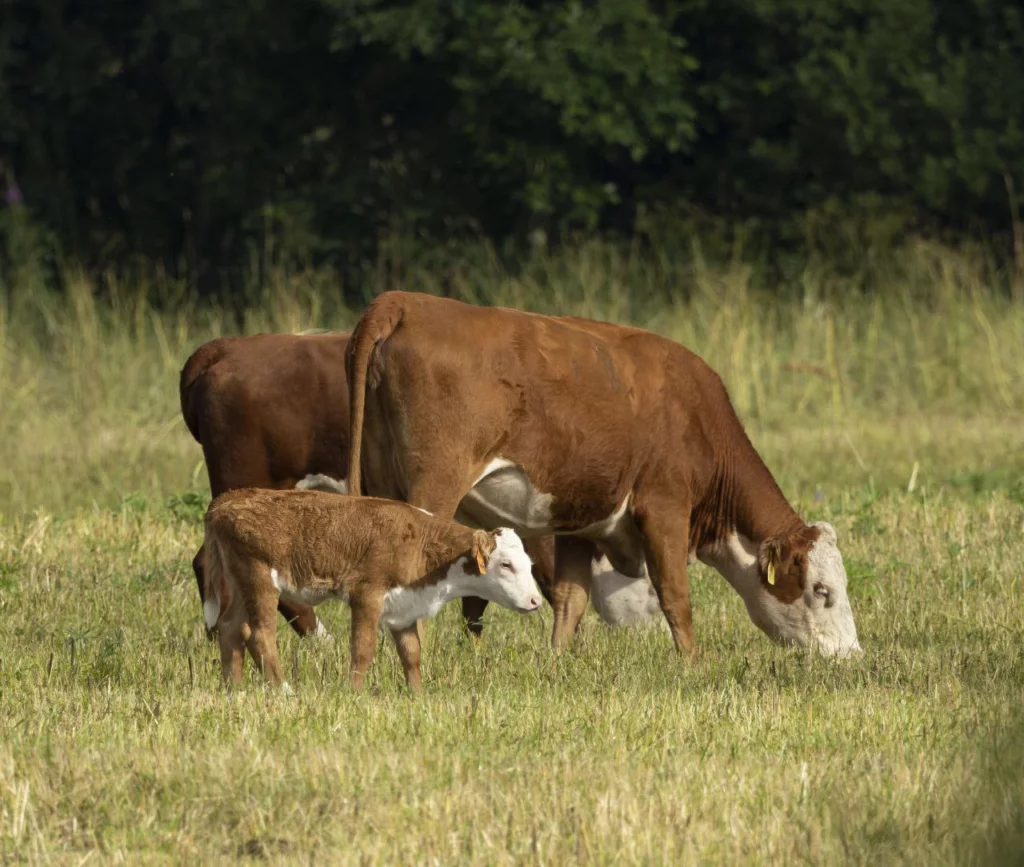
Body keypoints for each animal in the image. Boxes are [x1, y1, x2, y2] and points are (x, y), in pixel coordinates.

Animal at [203, 488, 543, 691]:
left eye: (528, 564)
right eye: (506, 565)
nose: (534, 600)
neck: (421, 545)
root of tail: (227, 501)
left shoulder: (405, 606)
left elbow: (411, 653)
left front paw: (417, 695)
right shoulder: (367, 594)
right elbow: (363, 649)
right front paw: (354, 694)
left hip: (239, 580)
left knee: (231, 628)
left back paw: (233, 689)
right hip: (259, 576)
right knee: (259, 634)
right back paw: (283, 690)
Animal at [345, 291, 862, 660]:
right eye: (822, 590)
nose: (851, 655)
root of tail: (404, 301)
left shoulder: (579, 521)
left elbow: (570, 600)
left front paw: (556, 663)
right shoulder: (664, 507)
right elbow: (675, 594)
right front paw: (694, 665)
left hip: (381, 480)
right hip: (436, 484)